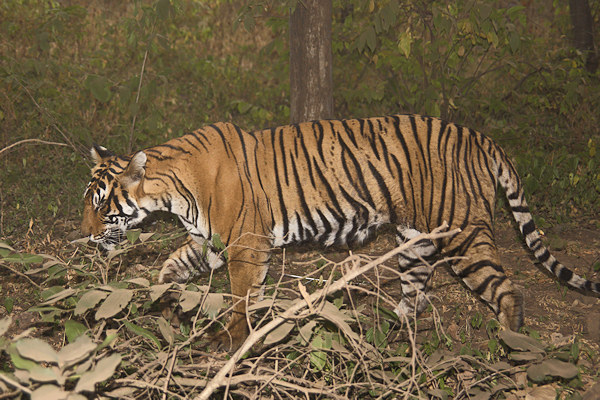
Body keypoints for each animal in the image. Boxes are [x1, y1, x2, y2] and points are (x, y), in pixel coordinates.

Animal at [81, 114, 600, 348]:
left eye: (101, 204)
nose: (83, 236)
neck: (172, 189)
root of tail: (477, 136)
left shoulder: (246, 247)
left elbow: (241, 299)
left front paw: (231, 342)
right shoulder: (206, 242)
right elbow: (171, 270)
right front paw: (162, 303)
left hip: (463, 234)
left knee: (508, 291)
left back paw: (507, 349)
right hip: (414, 239)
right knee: (417, 290)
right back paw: (389, 339)